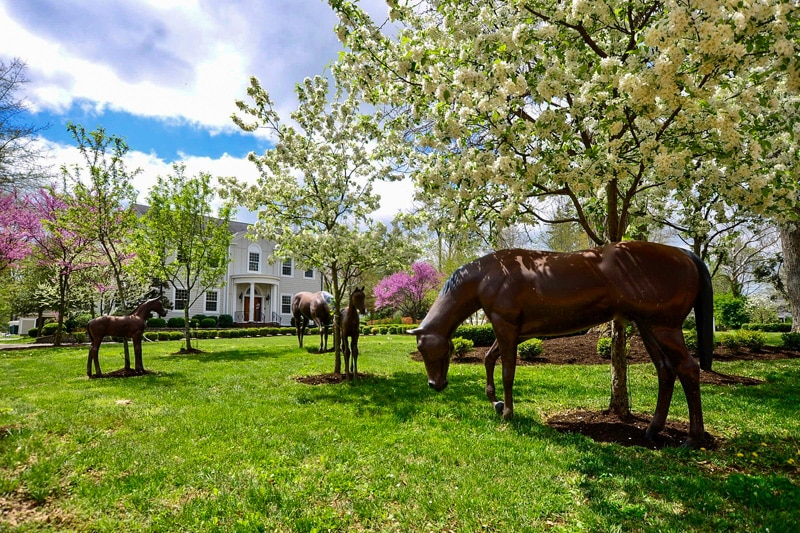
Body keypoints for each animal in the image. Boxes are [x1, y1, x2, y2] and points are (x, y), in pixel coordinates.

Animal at [408, 241, 714, 448]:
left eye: (425, 349)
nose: (435, 385)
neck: (489, 275)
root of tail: (684, 254)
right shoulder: (515, 333)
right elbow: (488, 359)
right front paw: (494, 401)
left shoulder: (506, 327)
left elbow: (507, 372)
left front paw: (507, 412)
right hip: (648, 327)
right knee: (666, 370)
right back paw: (653, 430)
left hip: (664, 328)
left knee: (687, 369)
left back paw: (692, 439)